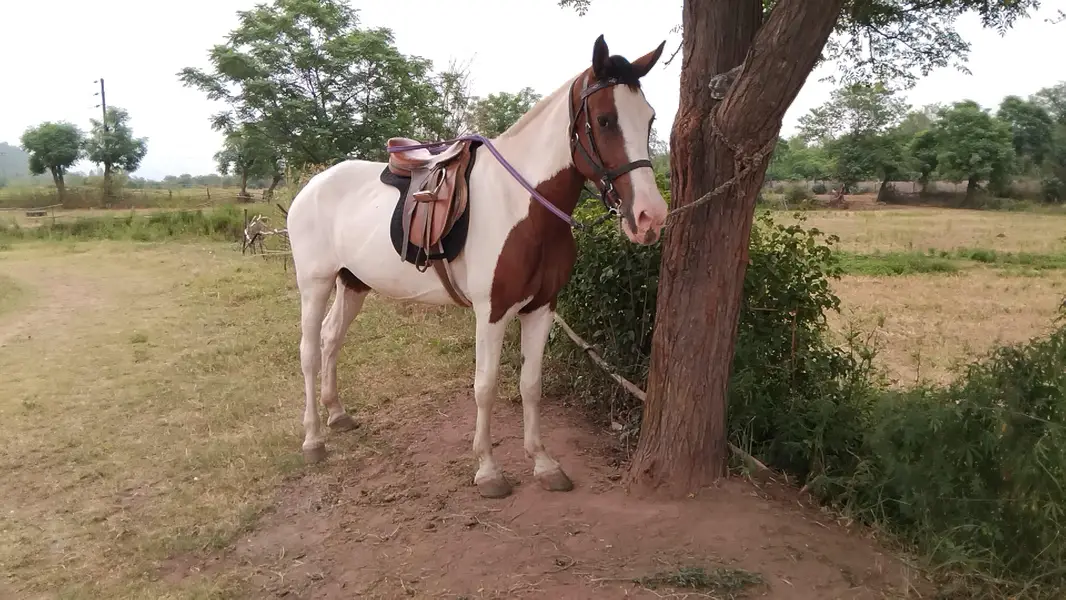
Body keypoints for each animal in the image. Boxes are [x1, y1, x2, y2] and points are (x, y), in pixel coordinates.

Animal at [286, 34, 668, 499]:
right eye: (605, 119)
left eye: (649, 119)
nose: (650, 217)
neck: (523, 207)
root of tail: (312, 185)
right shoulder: (492, 311)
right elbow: (485, 387)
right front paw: (488, 470)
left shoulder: (542, 308)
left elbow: (531, 385)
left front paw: (543, 463)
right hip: (315, 282)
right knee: (308, 350)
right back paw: (313, 439)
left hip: (353, 283)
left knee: (331, 338)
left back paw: (338, 414)